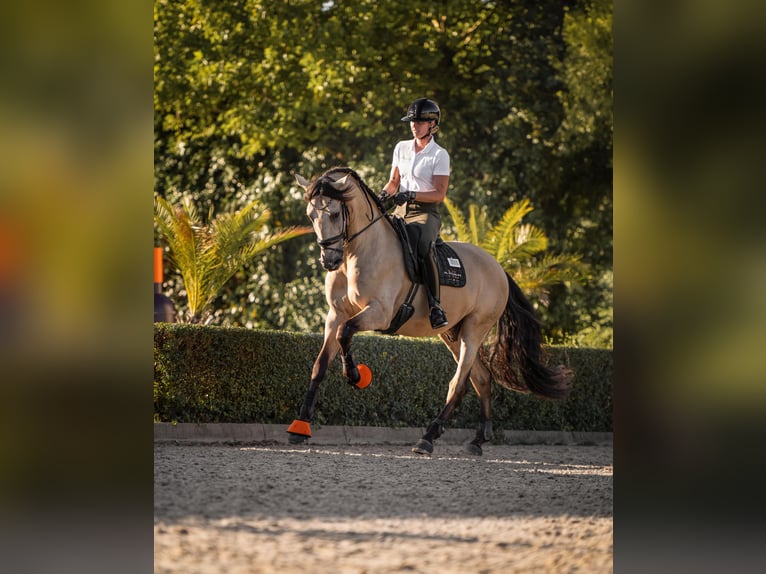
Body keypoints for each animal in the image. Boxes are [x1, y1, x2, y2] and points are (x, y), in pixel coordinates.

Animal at [288, 167, 572, 455]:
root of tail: (498, 268)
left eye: (335, 213)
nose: (329, 261)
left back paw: (428, 437)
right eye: (311, 215)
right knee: (481, 379)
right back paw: (477, 441)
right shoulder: (335, 315)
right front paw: (300, 427)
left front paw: (356, 376)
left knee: (459, 383)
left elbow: (346, 333)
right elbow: (320, 365)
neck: (358, 252)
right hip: (452, 333)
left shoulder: (378, 312)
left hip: (474, 330)